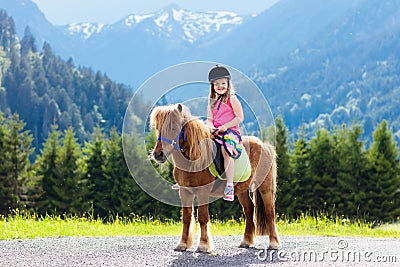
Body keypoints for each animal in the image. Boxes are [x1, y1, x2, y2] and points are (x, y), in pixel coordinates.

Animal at [150, 103, 282, 253]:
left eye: (173, 127)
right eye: (157, 128)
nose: (158, 154)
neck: (194, 158)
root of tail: (264, 145)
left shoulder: (203, 191)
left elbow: (202, 217)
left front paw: (203, 245)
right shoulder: (184, 192)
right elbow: (186, 217)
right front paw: (183, 244)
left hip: (265, 186)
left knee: (269, 211)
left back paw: (273, 243)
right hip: (242, 190)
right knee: (249, 210)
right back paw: (246, 241)